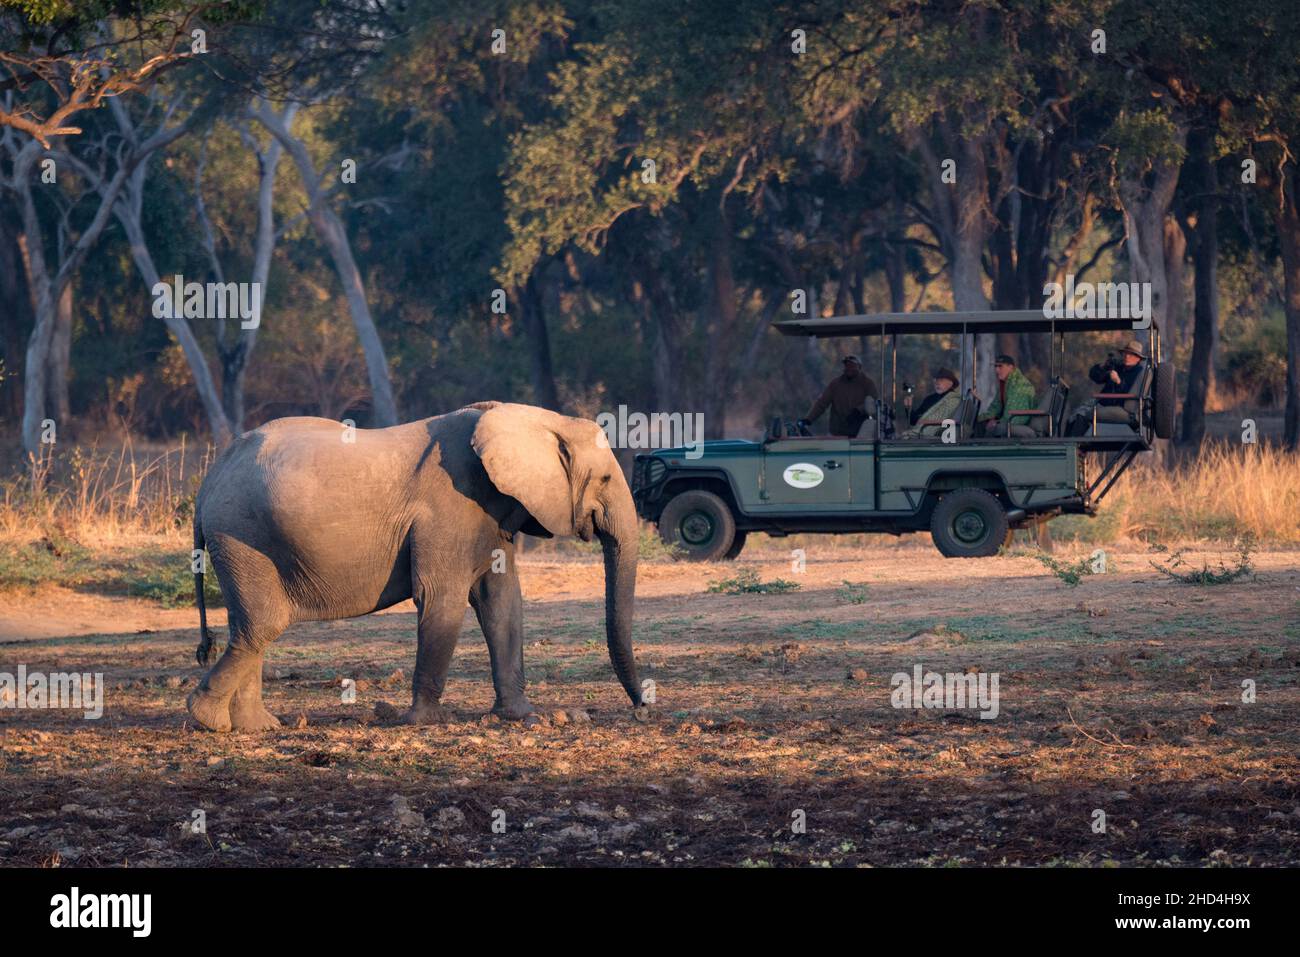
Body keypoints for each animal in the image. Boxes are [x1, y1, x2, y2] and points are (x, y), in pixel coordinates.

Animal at [185, 397, 642, 733]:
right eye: (604, 479)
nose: (640, 708)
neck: (535, 418)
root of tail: (208, 483)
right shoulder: (449, 509)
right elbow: (442, 598)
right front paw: (426, 721)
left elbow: (502, 603)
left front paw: (520, 716)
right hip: (242, 534)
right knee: (264, 622)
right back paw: (208, 720)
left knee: (250, 624)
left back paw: (256, 727)